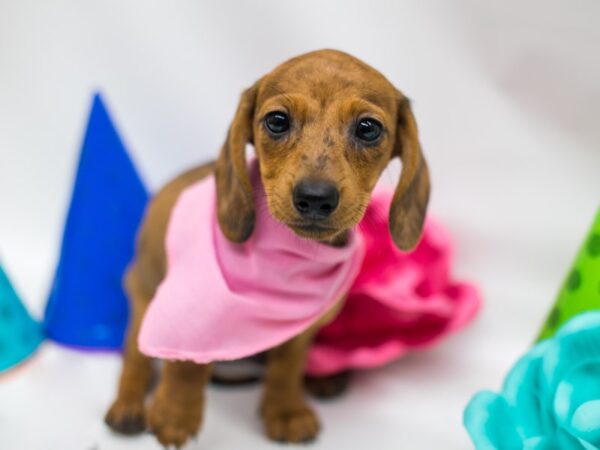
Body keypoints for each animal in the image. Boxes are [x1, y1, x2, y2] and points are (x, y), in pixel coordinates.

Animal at [105, 48, 428, 446]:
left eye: (368, 128)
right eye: (277, 121)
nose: (315, 197)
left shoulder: (301, 330)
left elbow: (287, 367)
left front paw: (285, 410)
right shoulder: (183, 313)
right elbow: (184, 366)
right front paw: (175, 416)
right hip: (143, 298)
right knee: (134, 359)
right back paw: (128, 406)